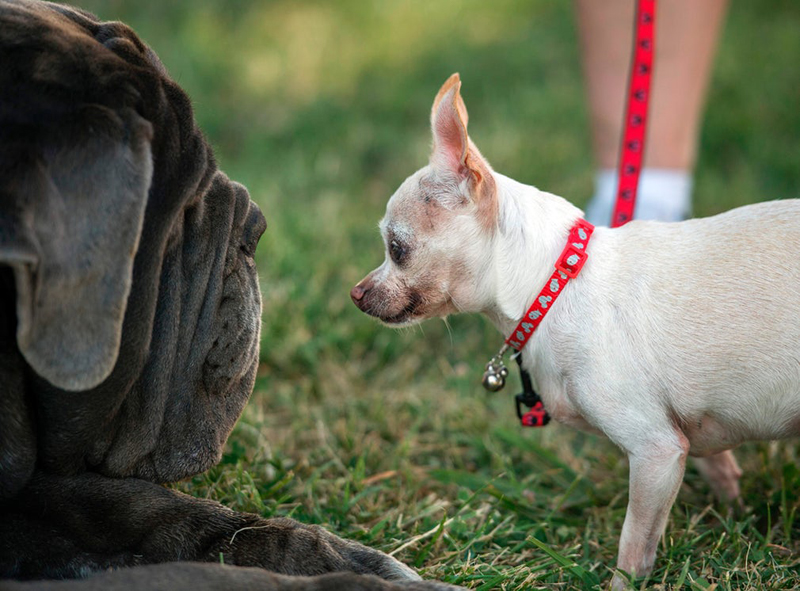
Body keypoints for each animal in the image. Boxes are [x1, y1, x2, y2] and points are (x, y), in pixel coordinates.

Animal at [352, 75, 800, 588]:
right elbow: (719, 469)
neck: (555, 284)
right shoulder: (685, 435)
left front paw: (623, 583)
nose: (357, 293)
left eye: (397, 249)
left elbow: (635, 544)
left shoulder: (656, 452)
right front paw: (735, 513)